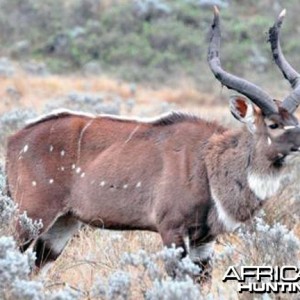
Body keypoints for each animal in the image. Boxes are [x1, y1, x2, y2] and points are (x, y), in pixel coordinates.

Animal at [4, 8, 300, 282]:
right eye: (273, 124)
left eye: (295, 119)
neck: (210, 162)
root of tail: (14, 140)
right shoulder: (172, 229)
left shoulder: (204, 241)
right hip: (30, 216)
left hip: (63, 223)